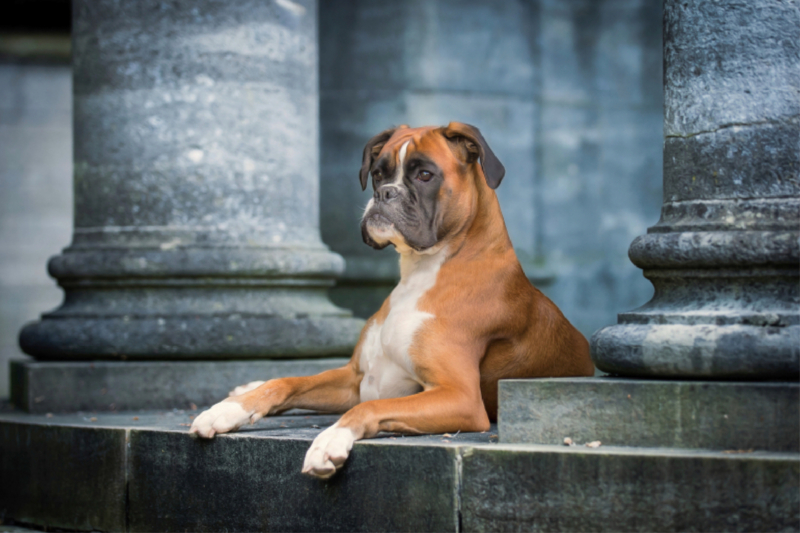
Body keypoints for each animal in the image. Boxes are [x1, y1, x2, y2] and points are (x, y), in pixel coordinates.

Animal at [191, 123, 592, 478]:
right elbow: (287, 382)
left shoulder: (459, 397)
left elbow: (371, 407)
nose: (384, 193)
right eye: (378, 174)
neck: (422, 272)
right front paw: (226, 411)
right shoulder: (355, 379)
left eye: (425, 175)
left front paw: (330, 439)